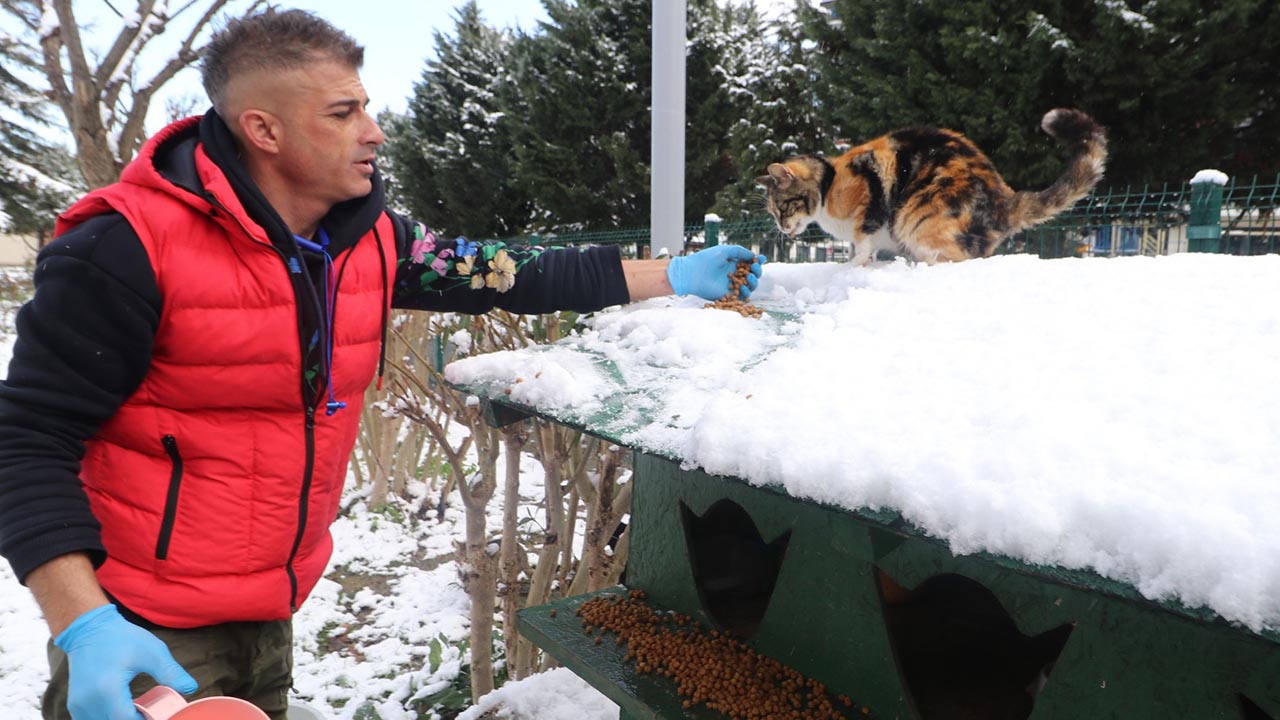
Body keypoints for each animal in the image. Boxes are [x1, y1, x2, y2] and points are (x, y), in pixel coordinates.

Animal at [752, 107, 1105, 262]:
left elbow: (862, 244)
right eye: (773, 212)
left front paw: (853, 267)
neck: (828, 183)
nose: (781, 227)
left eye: (782, 207)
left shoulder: (869, 208)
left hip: (919, 218)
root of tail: (1005, 198)